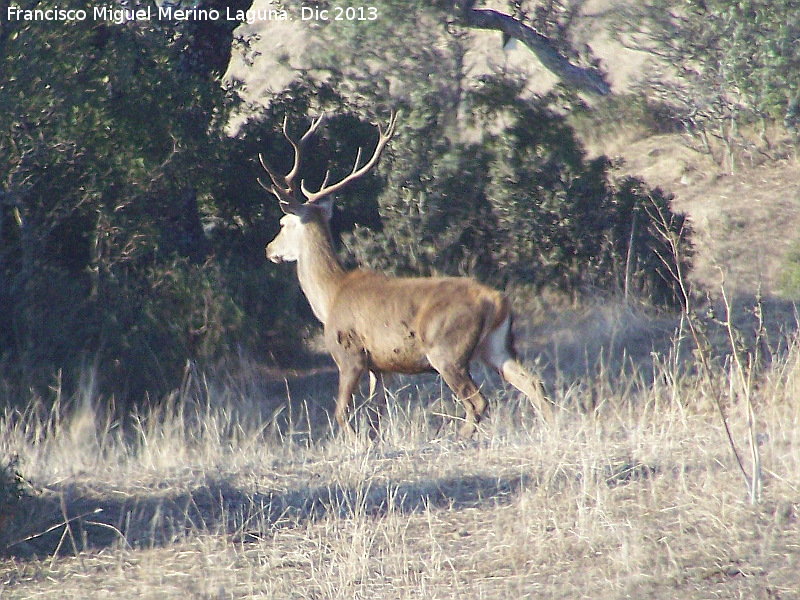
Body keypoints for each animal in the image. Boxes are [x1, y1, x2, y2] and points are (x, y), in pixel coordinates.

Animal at [260, 113, 552, 440]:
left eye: (283, 223)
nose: (269, 249)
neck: (331, 295)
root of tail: (498, 301)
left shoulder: (349, 354)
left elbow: (341, 413)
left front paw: (355, 444)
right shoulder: (381, 366)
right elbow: (375, 414)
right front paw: (373, 442)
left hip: (446, 349)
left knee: (478, 401)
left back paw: (457, 439)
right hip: (496, 346)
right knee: (533, 383)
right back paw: (553, 428)